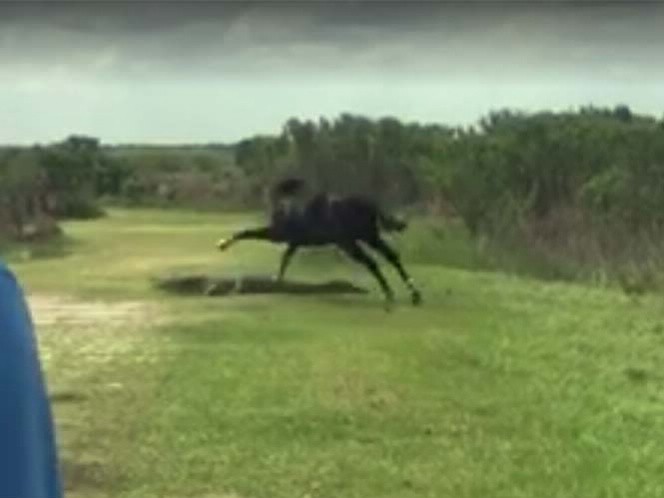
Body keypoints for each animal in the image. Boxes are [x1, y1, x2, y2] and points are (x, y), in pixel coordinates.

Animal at [216, 178, 422, 308]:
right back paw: (413, 295)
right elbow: (286, 258)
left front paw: (222, 244)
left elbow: (248, 233)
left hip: (350, 242)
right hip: (367, 237)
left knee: (373, 262)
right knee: (391, 257)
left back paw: (391, 295)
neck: (288, 209)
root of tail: (370, 204)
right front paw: (278, 281)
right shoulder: (294, 242)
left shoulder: (279, 235)